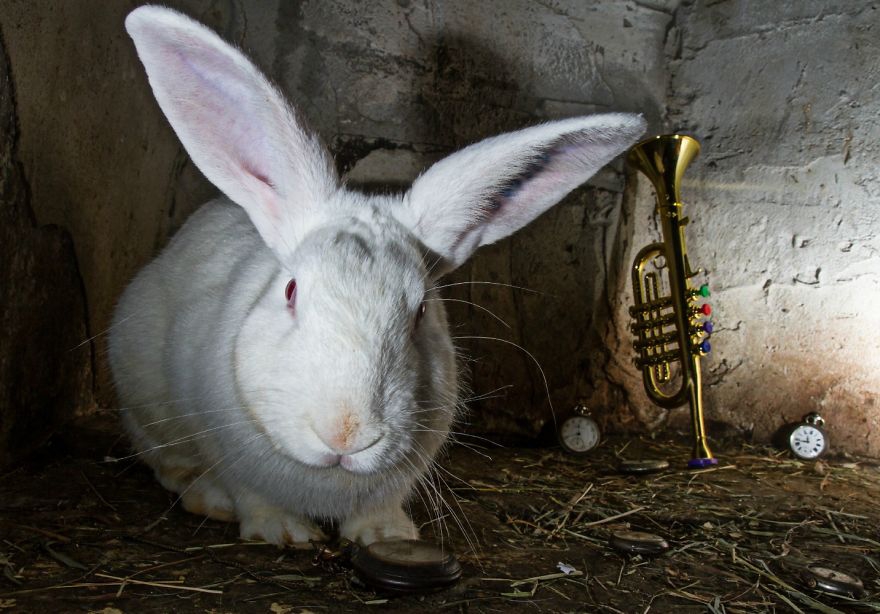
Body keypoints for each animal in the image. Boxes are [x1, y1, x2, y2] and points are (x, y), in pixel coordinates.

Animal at [110, 2, 648, 548]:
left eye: (422, 311)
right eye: (291, 291)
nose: (346, 433)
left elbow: (379, 510)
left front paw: (389, 536)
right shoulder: (226, 449)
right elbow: (252, 495)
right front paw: (285, 532)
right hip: (143, 398)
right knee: (167, 461)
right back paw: (209, 499)